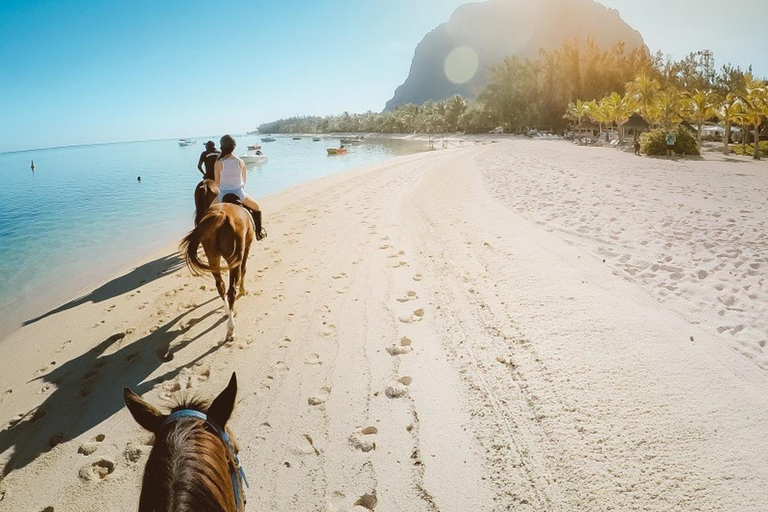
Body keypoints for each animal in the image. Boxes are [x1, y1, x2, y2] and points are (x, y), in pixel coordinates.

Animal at [181, 200, 254, 340]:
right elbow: (244, 269)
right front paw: (243, 290)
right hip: (234, 258)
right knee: (231, 291)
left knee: (220, 286)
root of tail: (221, 215)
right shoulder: (247, 247)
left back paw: (227, 312)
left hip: (213, 258)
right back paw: (230, 328)